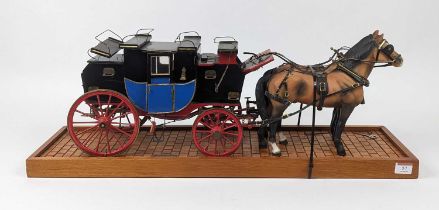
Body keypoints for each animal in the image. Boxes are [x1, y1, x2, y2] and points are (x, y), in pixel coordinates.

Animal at [256, 30, 404, 156]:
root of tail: (275, 72)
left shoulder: (339, 105)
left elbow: (334, 124)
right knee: (272, 121)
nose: (400, 59)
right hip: (279, 104)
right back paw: (274, 147)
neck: (349, 74)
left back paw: (266, 140)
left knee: (267, 120)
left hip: (273, 103)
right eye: (389, 47)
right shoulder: (348, 107)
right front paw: (340, 148)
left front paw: (335, 141)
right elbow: (340, 125)